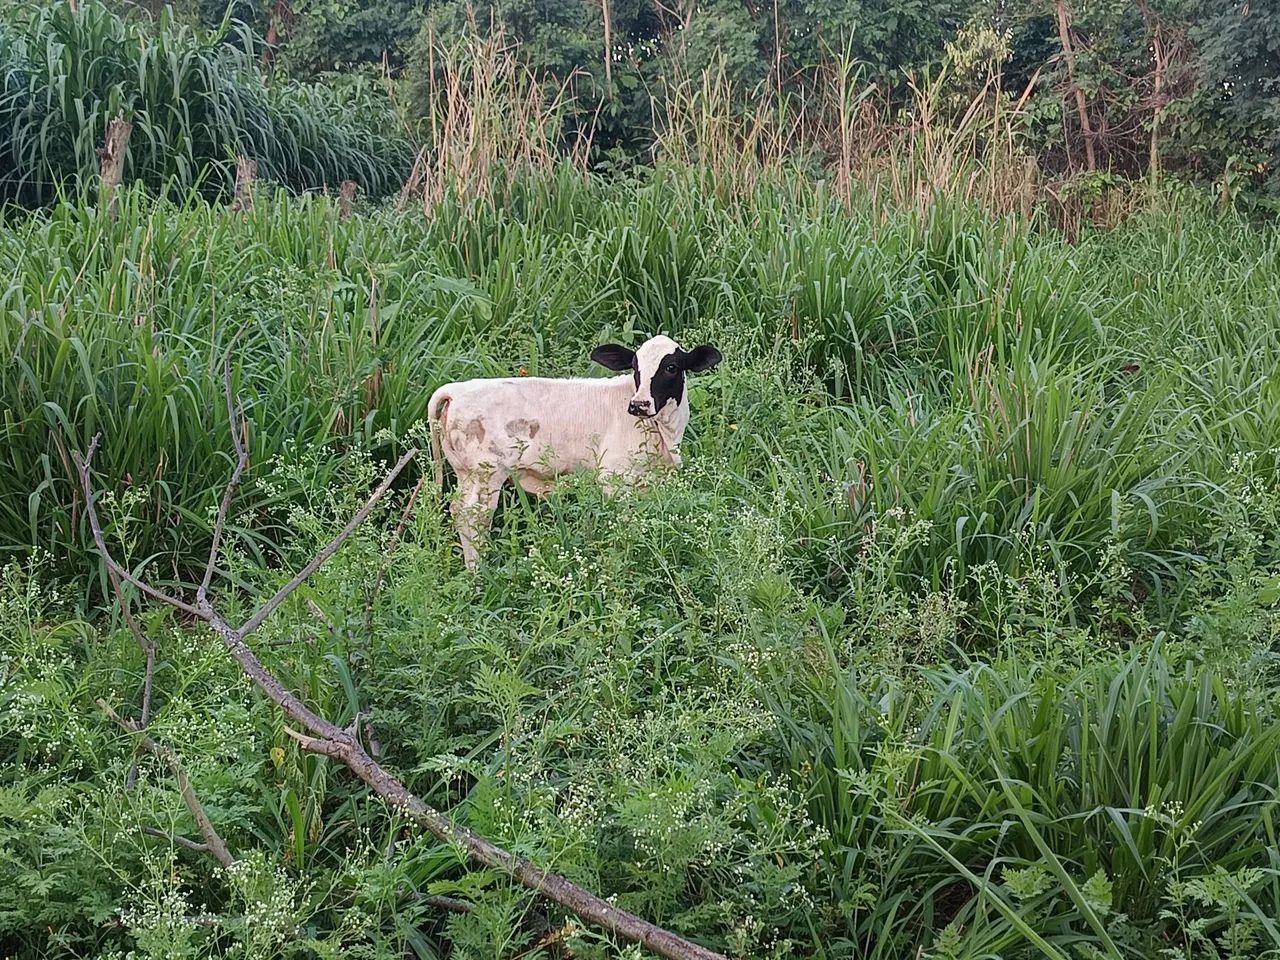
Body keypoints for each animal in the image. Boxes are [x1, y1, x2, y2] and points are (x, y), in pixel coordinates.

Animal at [427, 335, 722, 568]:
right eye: (635, 367)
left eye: (671, 367)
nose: (638, 404)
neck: (665, 434)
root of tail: (456, 390)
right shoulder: (612, 476)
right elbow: (623, 522)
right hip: (485, 474)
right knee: (472, 516)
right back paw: (477, 572)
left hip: (467, 474)